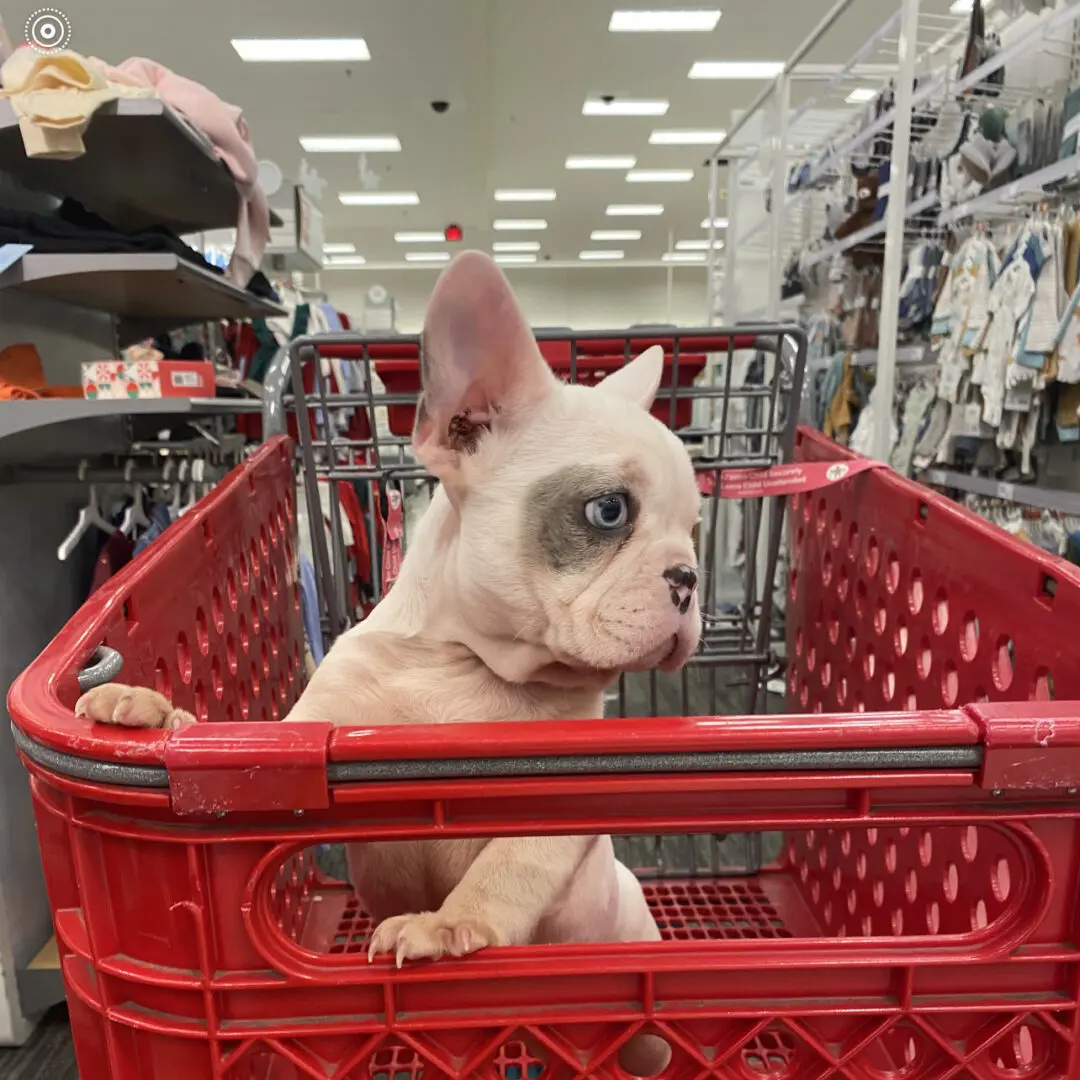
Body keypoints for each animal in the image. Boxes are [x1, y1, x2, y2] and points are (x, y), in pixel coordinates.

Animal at [76, 250, 699, 1071]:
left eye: (696, 526)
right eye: (609, 511)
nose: (689, 577)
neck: (475, 670)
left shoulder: (557, 810)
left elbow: (505, 868)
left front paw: (447, 925)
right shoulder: (305, 737)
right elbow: (241, 743)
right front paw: (152, 712)